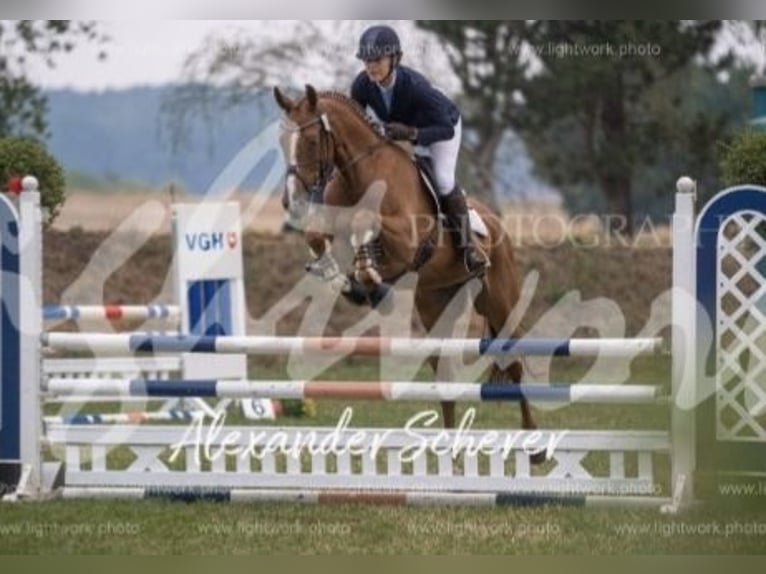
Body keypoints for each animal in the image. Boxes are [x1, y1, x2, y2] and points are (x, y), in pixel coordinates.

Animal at [273, 84, 538, 441]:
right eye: (281, 141)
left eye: (313, 141)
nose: (292, 202)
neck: (359, 174)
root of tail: (498, 225)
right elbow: (319, 237)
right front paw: (347, 280)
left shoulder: (408, 242)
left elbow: (365, 222)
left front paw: (370, 280)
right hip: (435, 303)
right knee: (444, 373)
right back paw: (450, 446)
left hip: (498, 300)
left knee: (513, 362)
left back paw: (534, 442)